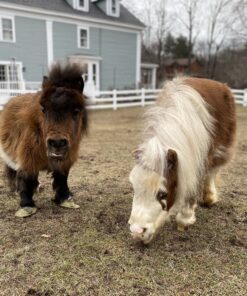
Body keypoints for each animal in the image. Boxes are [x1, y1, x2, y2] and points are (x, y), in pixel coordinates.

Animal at [0, 63, 88, 217]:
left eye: (76, 111)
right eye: (43, 109)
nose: (57, 143)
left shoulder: (65, 159)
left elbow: (62, 177)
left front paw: (65, 199)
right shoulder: (28, 157)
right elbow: (26, 177)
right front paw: (26, 206)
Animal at [128, 77, 236, 245]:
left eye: (162, 194)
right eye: (134, 188)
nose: (137, 232)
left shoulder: (198, 160)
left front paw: (185, 219)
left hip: (222, 149)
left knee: (212, 172)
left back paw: (209, 198)